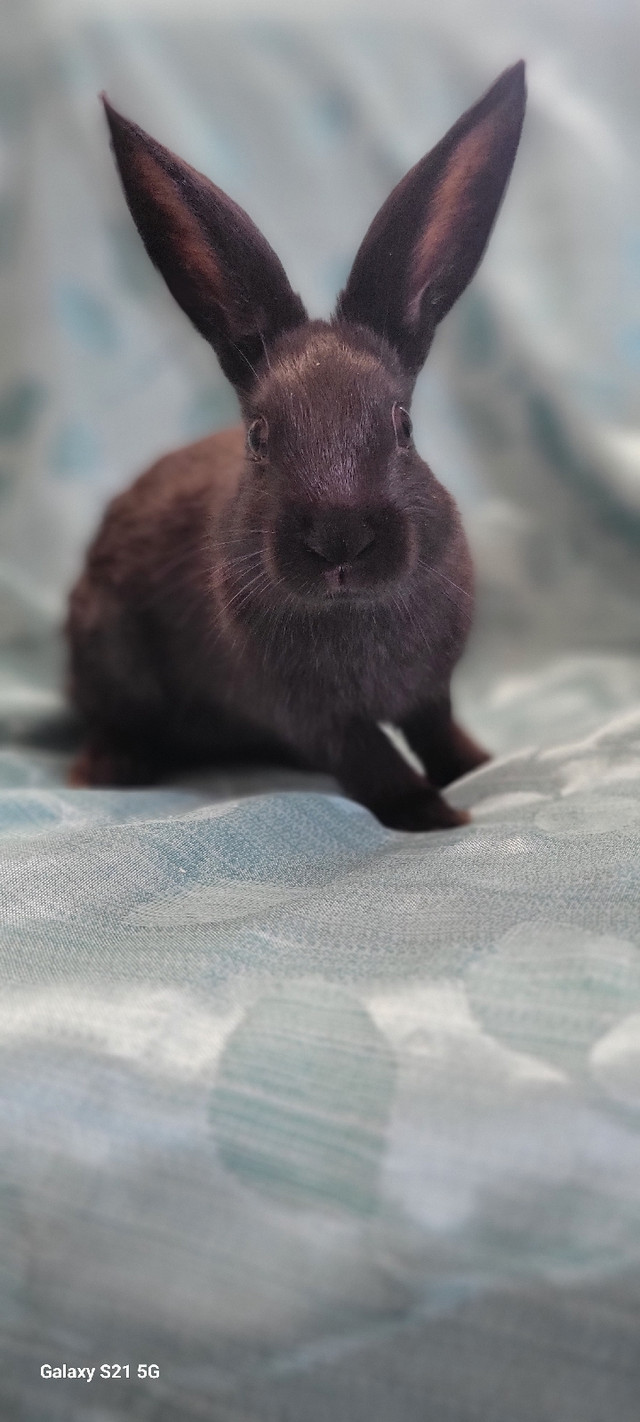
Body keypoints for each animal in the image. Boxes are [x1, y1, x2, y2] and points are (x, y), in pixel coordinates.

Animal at [66, 61, 526, 830]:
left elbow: (437, 729)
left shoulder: (431, 691)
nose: (339, 542)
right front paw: (433, 816)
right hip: (108, 650)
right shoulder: (317, 718)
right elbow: (373, 758)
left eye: (403, 427)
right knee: (112, 720)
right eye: (259, 436)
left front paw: (478, 768)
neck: (352, 610)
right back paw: (109, 768)